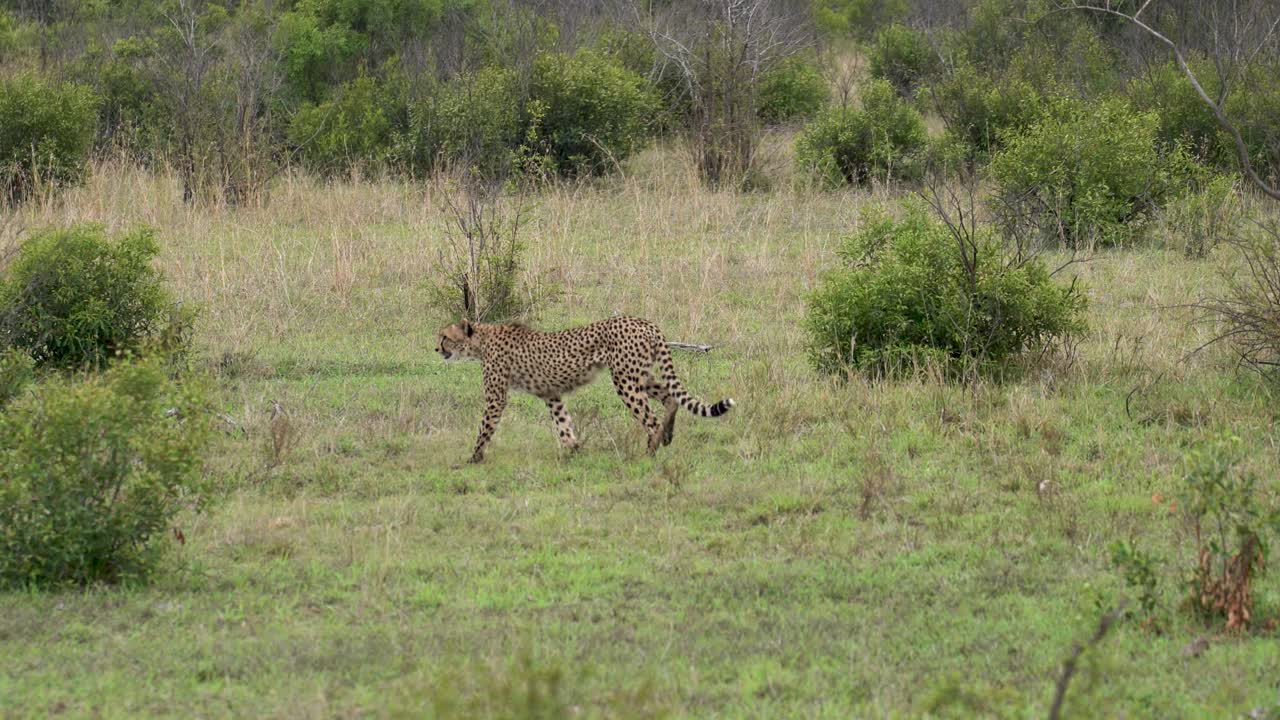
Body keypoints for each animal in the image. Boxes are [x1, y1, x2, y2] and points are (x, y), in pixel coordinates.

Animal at [436, 315, 735, 463]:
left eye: (445, 337)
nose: (436, 349)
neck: (481, 341)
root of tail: (644, 321)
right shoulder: (551, 394)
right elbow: (563, 423)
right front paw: (573, 450)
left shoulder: (496, 397)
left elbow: (485, 427)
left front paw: (473, 458)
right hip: (639, 375)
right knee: (671, 399)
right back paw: (667, 437)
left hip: (626, 380)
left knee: (650, 420)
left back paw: (649, 454)